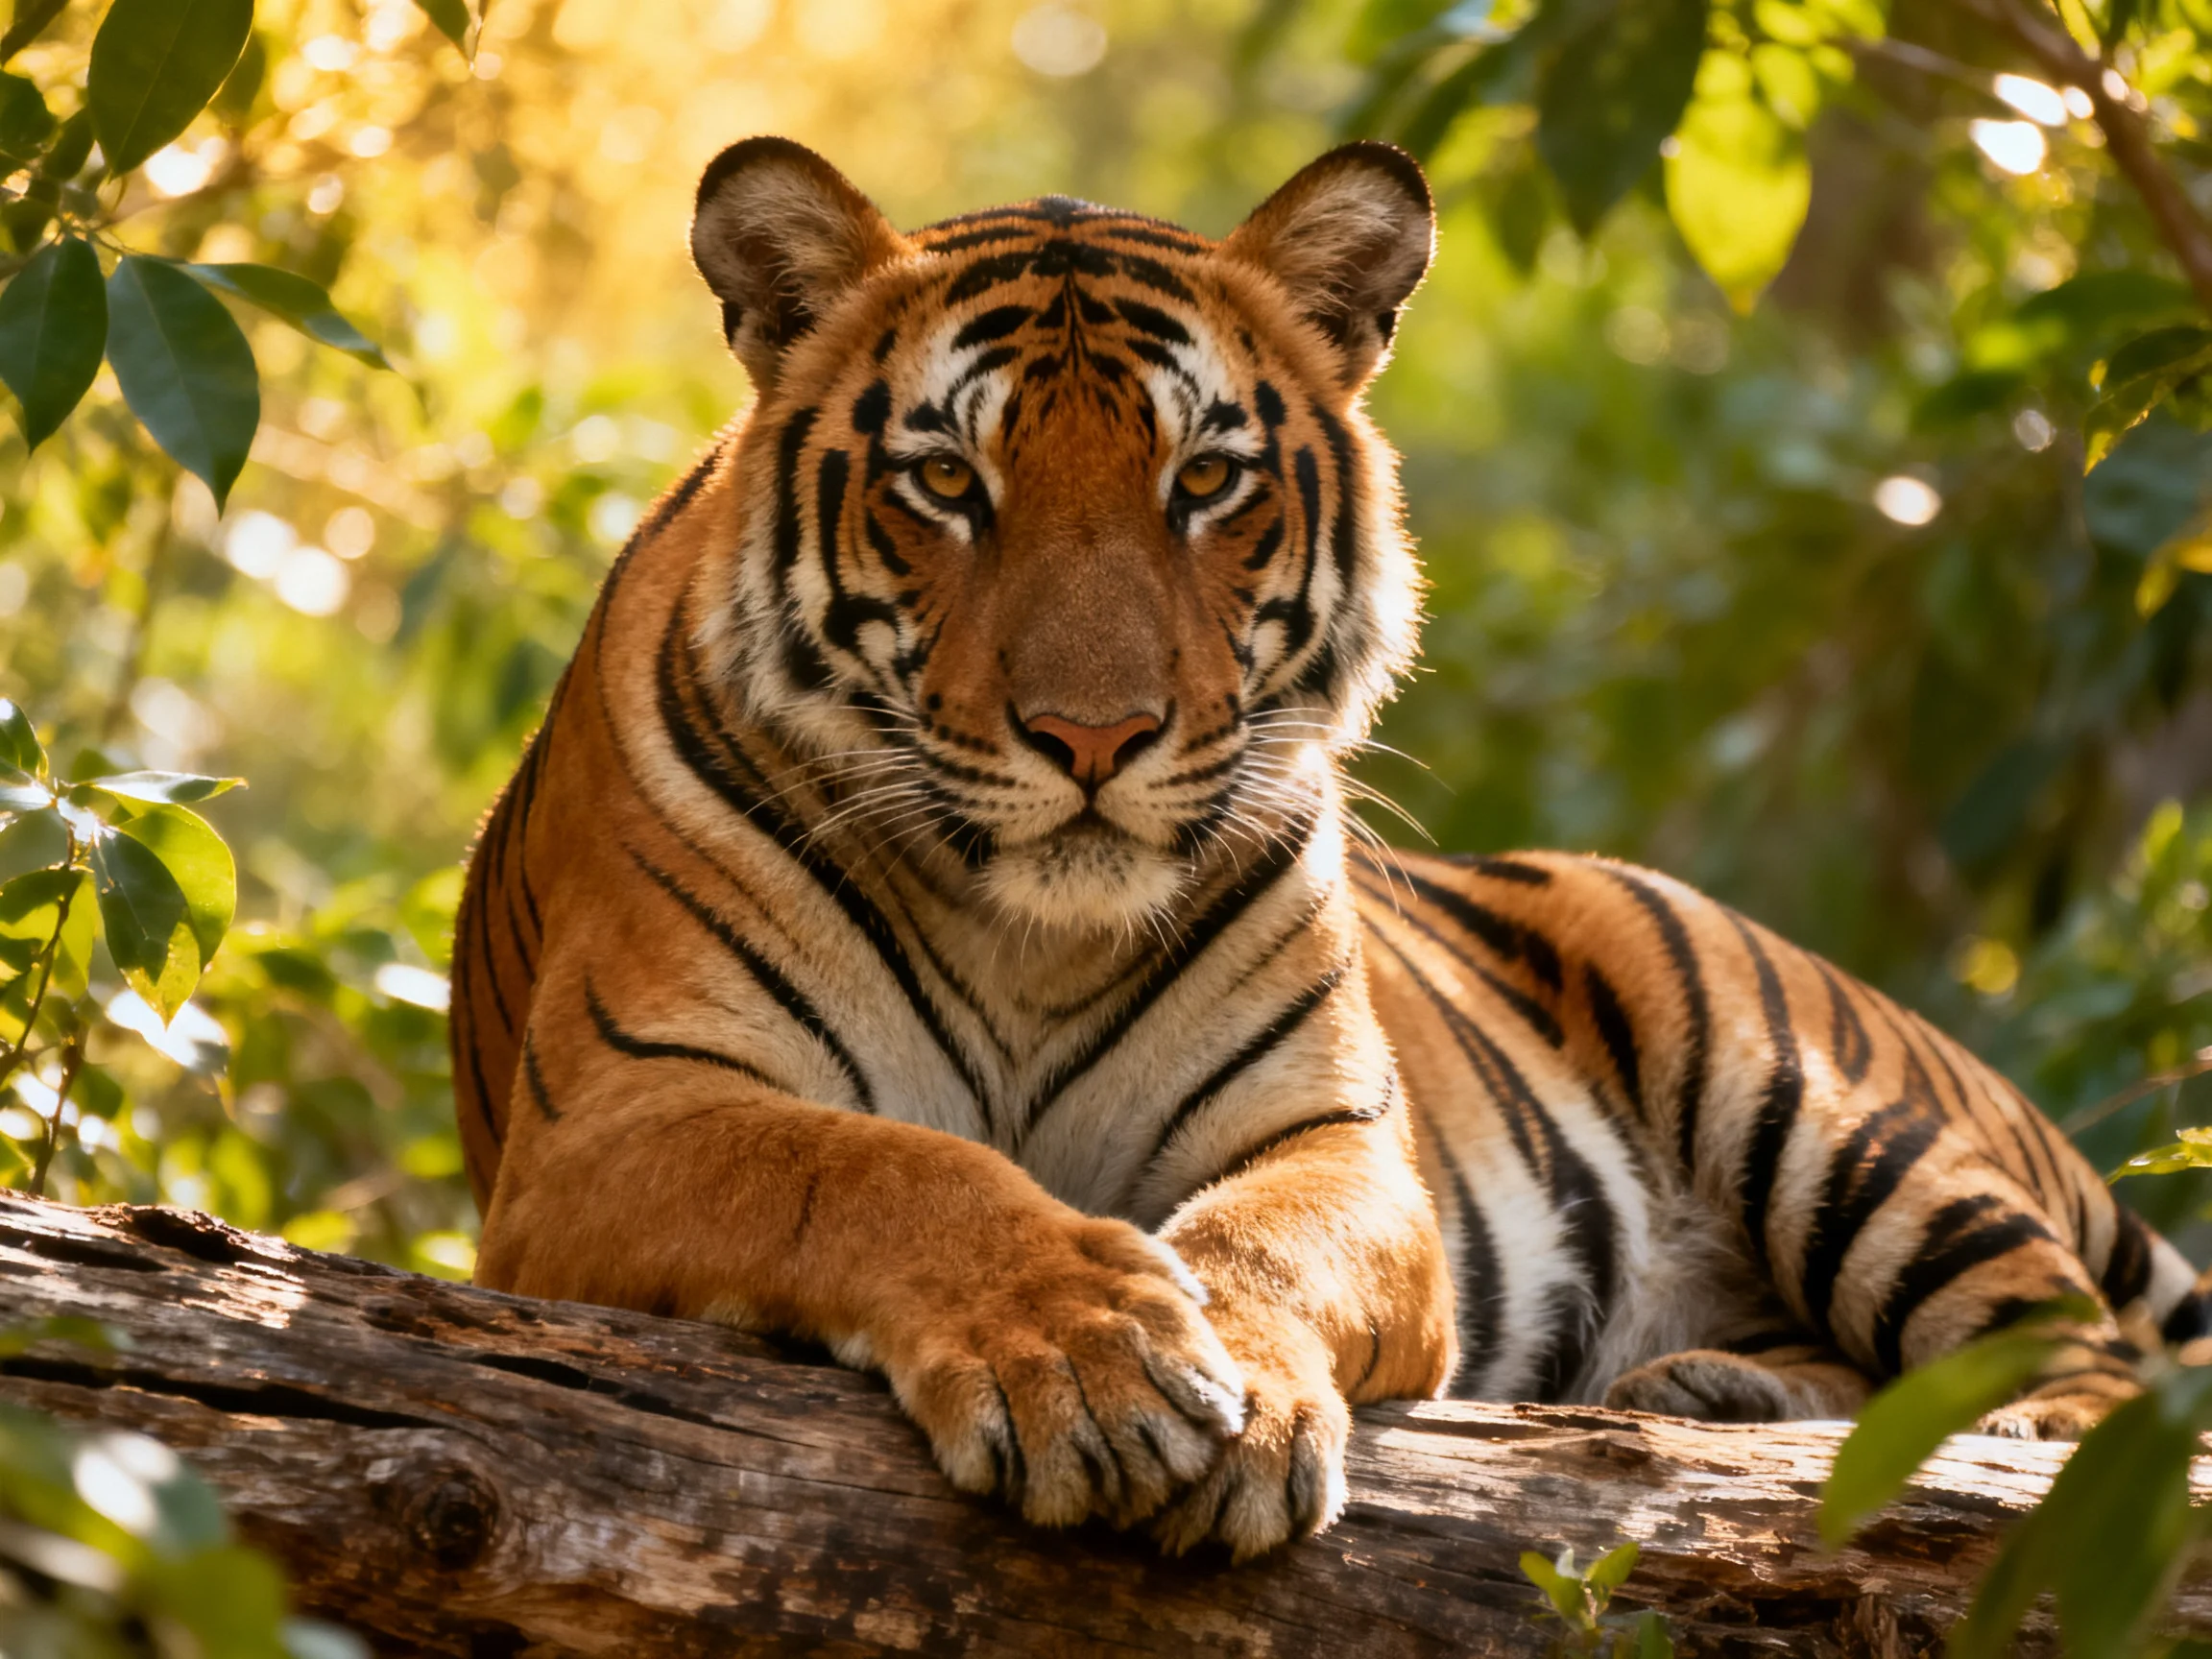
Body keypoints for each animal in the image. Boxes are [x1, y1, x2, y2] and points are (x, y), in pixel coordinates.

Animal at [451, 135, 2211, 1561]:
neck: (1028, 939)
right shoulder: (611, 1122)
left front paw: (1216, 1378)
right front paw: (1080, 1350)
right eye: (946, 480)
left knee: (2081, 1373)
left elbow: (1262, 1239)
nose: (1093, 737)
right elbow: (876, 1167)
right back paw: (1713, 1394)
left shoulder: (1338, 1137)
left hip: (1826, 1113)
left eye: (1206, 479)